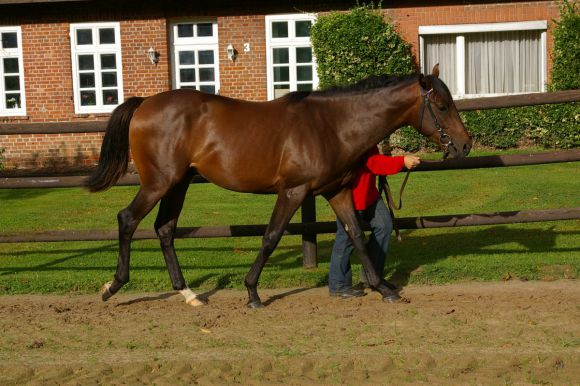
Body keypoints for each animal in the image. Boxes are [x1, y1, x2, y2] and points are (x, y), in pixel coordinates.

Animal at [88, 65, 474, 308]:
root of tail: (145, 103)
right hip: (159, 182)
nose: (465, 145)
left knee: (164, 229)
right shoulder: (293, 191)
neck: (332, 124)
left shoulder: (336, 192)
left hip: (178, 184)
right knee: (128, 219)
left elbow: (357, 236)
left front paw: (383, 288)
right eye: (442, 106)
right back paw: (113, 286)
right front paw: (252, 293)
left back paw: (189, 294)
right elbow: (271, 237)